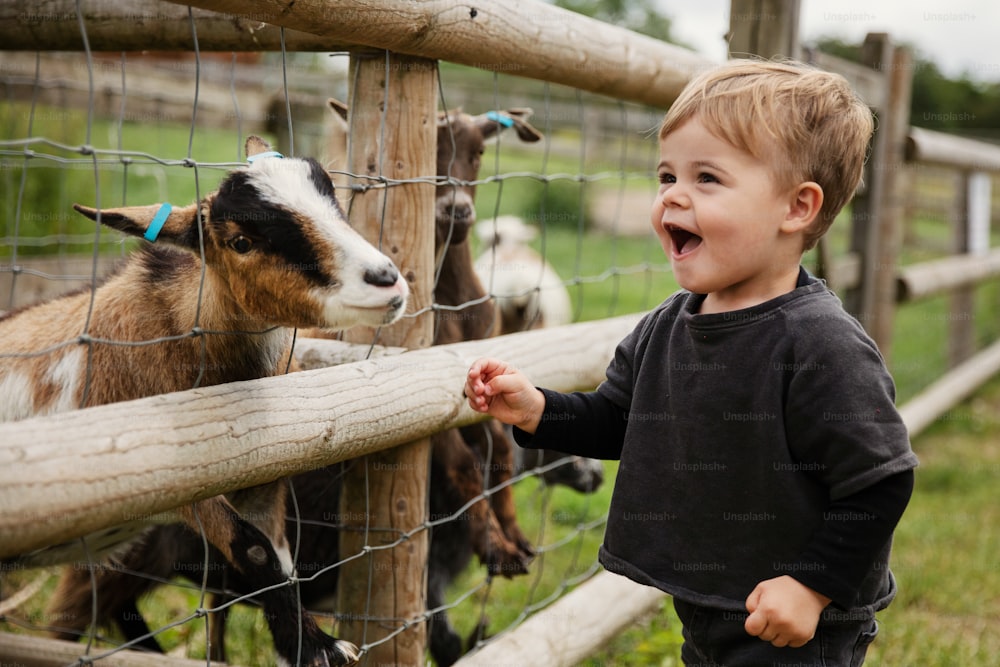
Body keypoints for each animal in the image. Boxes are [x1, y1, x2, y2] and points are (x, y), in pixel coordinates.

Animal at [0, 136, 408, 667]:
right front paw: (321, 647)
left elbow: (279, 556)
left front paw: (299, 641)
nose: (385, 279)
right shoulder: (177, 481)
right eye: (241, 242)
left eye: (333, 203)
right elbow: (252, 549)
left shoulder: (262, 481)